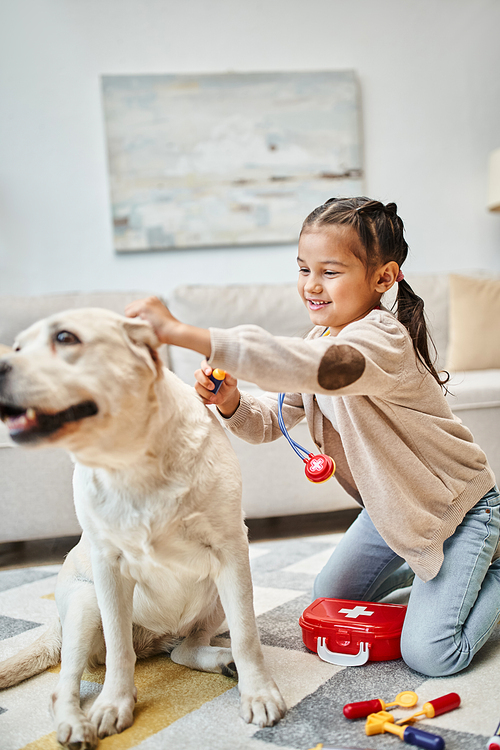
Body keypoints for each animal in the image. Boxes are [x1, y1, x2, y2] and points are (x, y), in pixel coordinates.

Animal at [0, 308, 286, 748]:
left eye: (65, 338)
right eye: (16, 347)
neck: (132, 462)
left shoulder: (232, 555)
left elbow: (247, 635)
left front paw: (259, 693)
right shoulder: (108, 569)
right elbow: (120, 650)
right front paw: (114, 704)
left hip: (215, 597)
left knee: (184, 651)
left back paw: (225, 661)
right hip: (85, 605)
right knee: (64, 684)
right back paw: (76, 724)